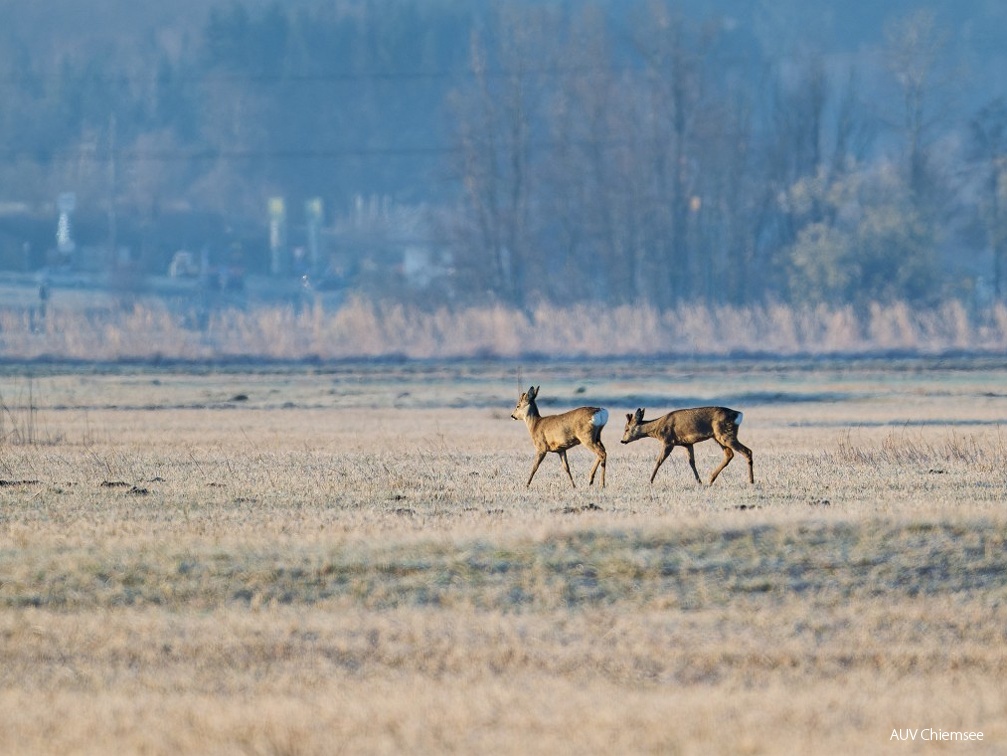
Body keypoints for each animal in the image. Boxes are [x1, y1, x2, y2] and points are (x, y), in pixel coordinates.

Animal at [620, 408, 757, 485]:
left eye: (626, 429)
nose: (622, 440)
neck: (658, 429)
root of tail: (738, 415)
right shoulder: (687, 443)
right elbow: (692, 462)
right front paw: (699, 481)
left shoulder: (668, 441)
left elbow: (659, 461)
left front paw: (650, 480)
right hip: (719, 437)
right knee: (729, 454)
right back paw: (710, 479)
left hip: (725, 434)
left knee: (747, 451)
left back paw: (751, 481)